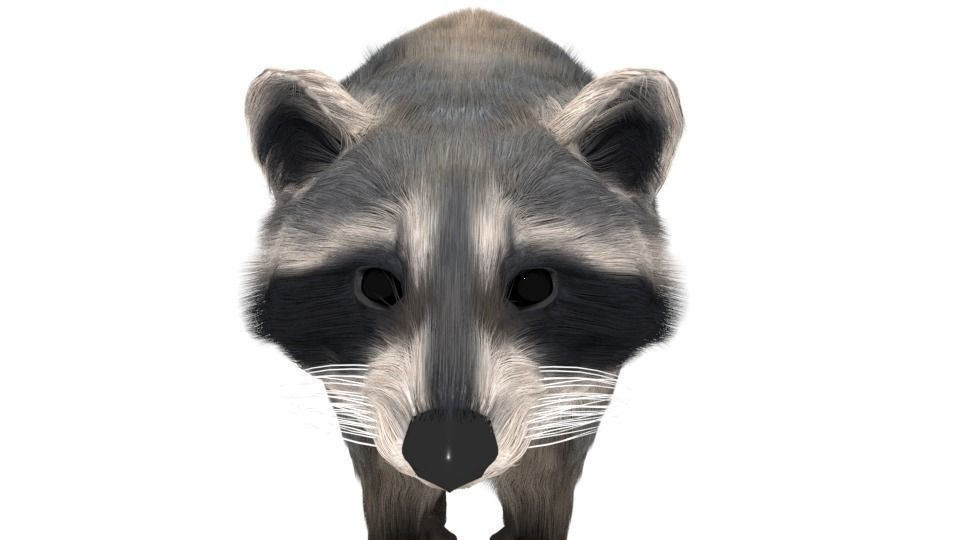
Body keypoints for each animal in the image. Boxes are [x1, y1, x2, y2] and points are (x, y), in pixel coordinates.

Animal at [244, 9, 683, 540]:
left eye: (534, 285)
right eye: (376, 284)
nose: (448, 455)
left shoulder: (586, 368)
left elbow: (551, 461)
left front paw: (534, 516)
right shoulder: (351, 377)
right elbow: (380, 458)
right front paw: (404, 516)